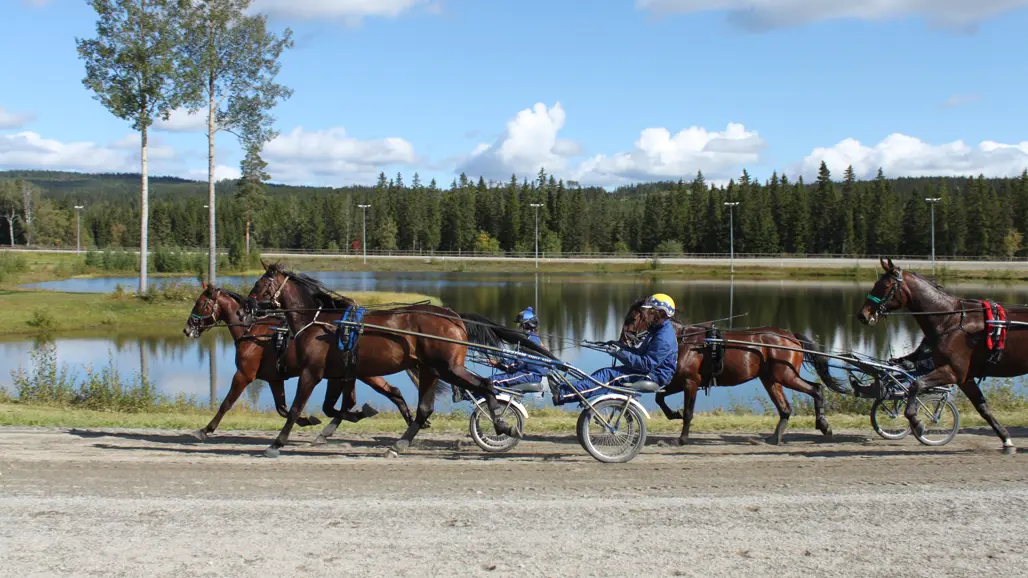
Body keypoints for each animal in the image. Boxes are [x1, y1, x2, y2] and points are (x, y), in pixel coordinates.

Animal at [183, 282, 415, 440]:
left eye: (201, 303)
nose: (187, 329)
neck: (253, 331)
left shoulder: (244, 374)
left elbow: (226, 403)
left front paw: (205, 429)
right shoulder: (274, 379)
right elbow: (282, 408)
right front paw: (306, 420)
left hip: (363, 371)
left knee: (385, 394)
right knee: (390, 392)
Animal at [245, 262, 555, 458]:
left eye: (259, 285)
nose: (247, 307)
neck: (322, 323)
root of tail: (453, 316)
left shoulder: (312, 371)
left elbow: (296, 408)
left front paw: (276, 444)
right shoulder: (337, 373)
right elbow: (332, 407)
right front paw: (348, 418)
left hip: (448, 367)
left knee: (486, 387)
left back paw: (502, 425)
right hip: (431, 370)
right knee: (425, 408)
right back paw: (399, 444)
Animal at [620, 299, 848, 446]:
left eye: (632, 318)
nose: (623, 341)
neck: (684, 340)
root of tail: (790, 336)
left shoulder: (691, 381)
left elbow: (689, 412)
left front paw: (682, 439)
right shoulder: (680, 380)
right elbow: (660, 397)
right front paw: (674, 414)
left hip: (786, 375)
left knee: (816, 389)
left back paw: (824, 425)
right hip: (770, 379)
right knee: (785, 409)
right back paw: (775, 438)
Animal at [857, 258, 1022, 454]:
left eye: (885, 285)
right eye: (876, 283)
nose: (863, 314)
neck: (951, 321)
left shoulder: (952, 371)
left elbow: (916, 385)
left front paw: (918, 423)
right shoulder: (965, 377)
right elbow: (983, 408)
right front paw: (1006, 440)